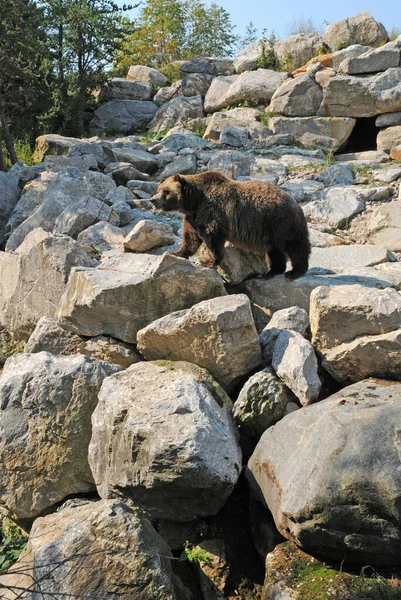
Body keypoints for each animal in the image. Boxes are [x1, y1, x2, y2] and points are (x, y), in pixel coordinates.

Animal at [152, 170, 310, 280]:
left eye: (166, 191)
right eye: (158, 189)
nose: (153, 200)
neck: (194, 201)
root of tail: (296, 203)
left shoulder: (212, 211)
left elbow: (212, 237)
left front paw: (208, 262)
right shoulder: (193, 217)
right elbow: (190, 237)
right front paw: (175, 253)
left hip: (280, 221)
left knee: (295, 246)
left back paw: (294, 272)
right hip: (271, 230)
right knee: (274, 250)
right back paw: (271, 272)